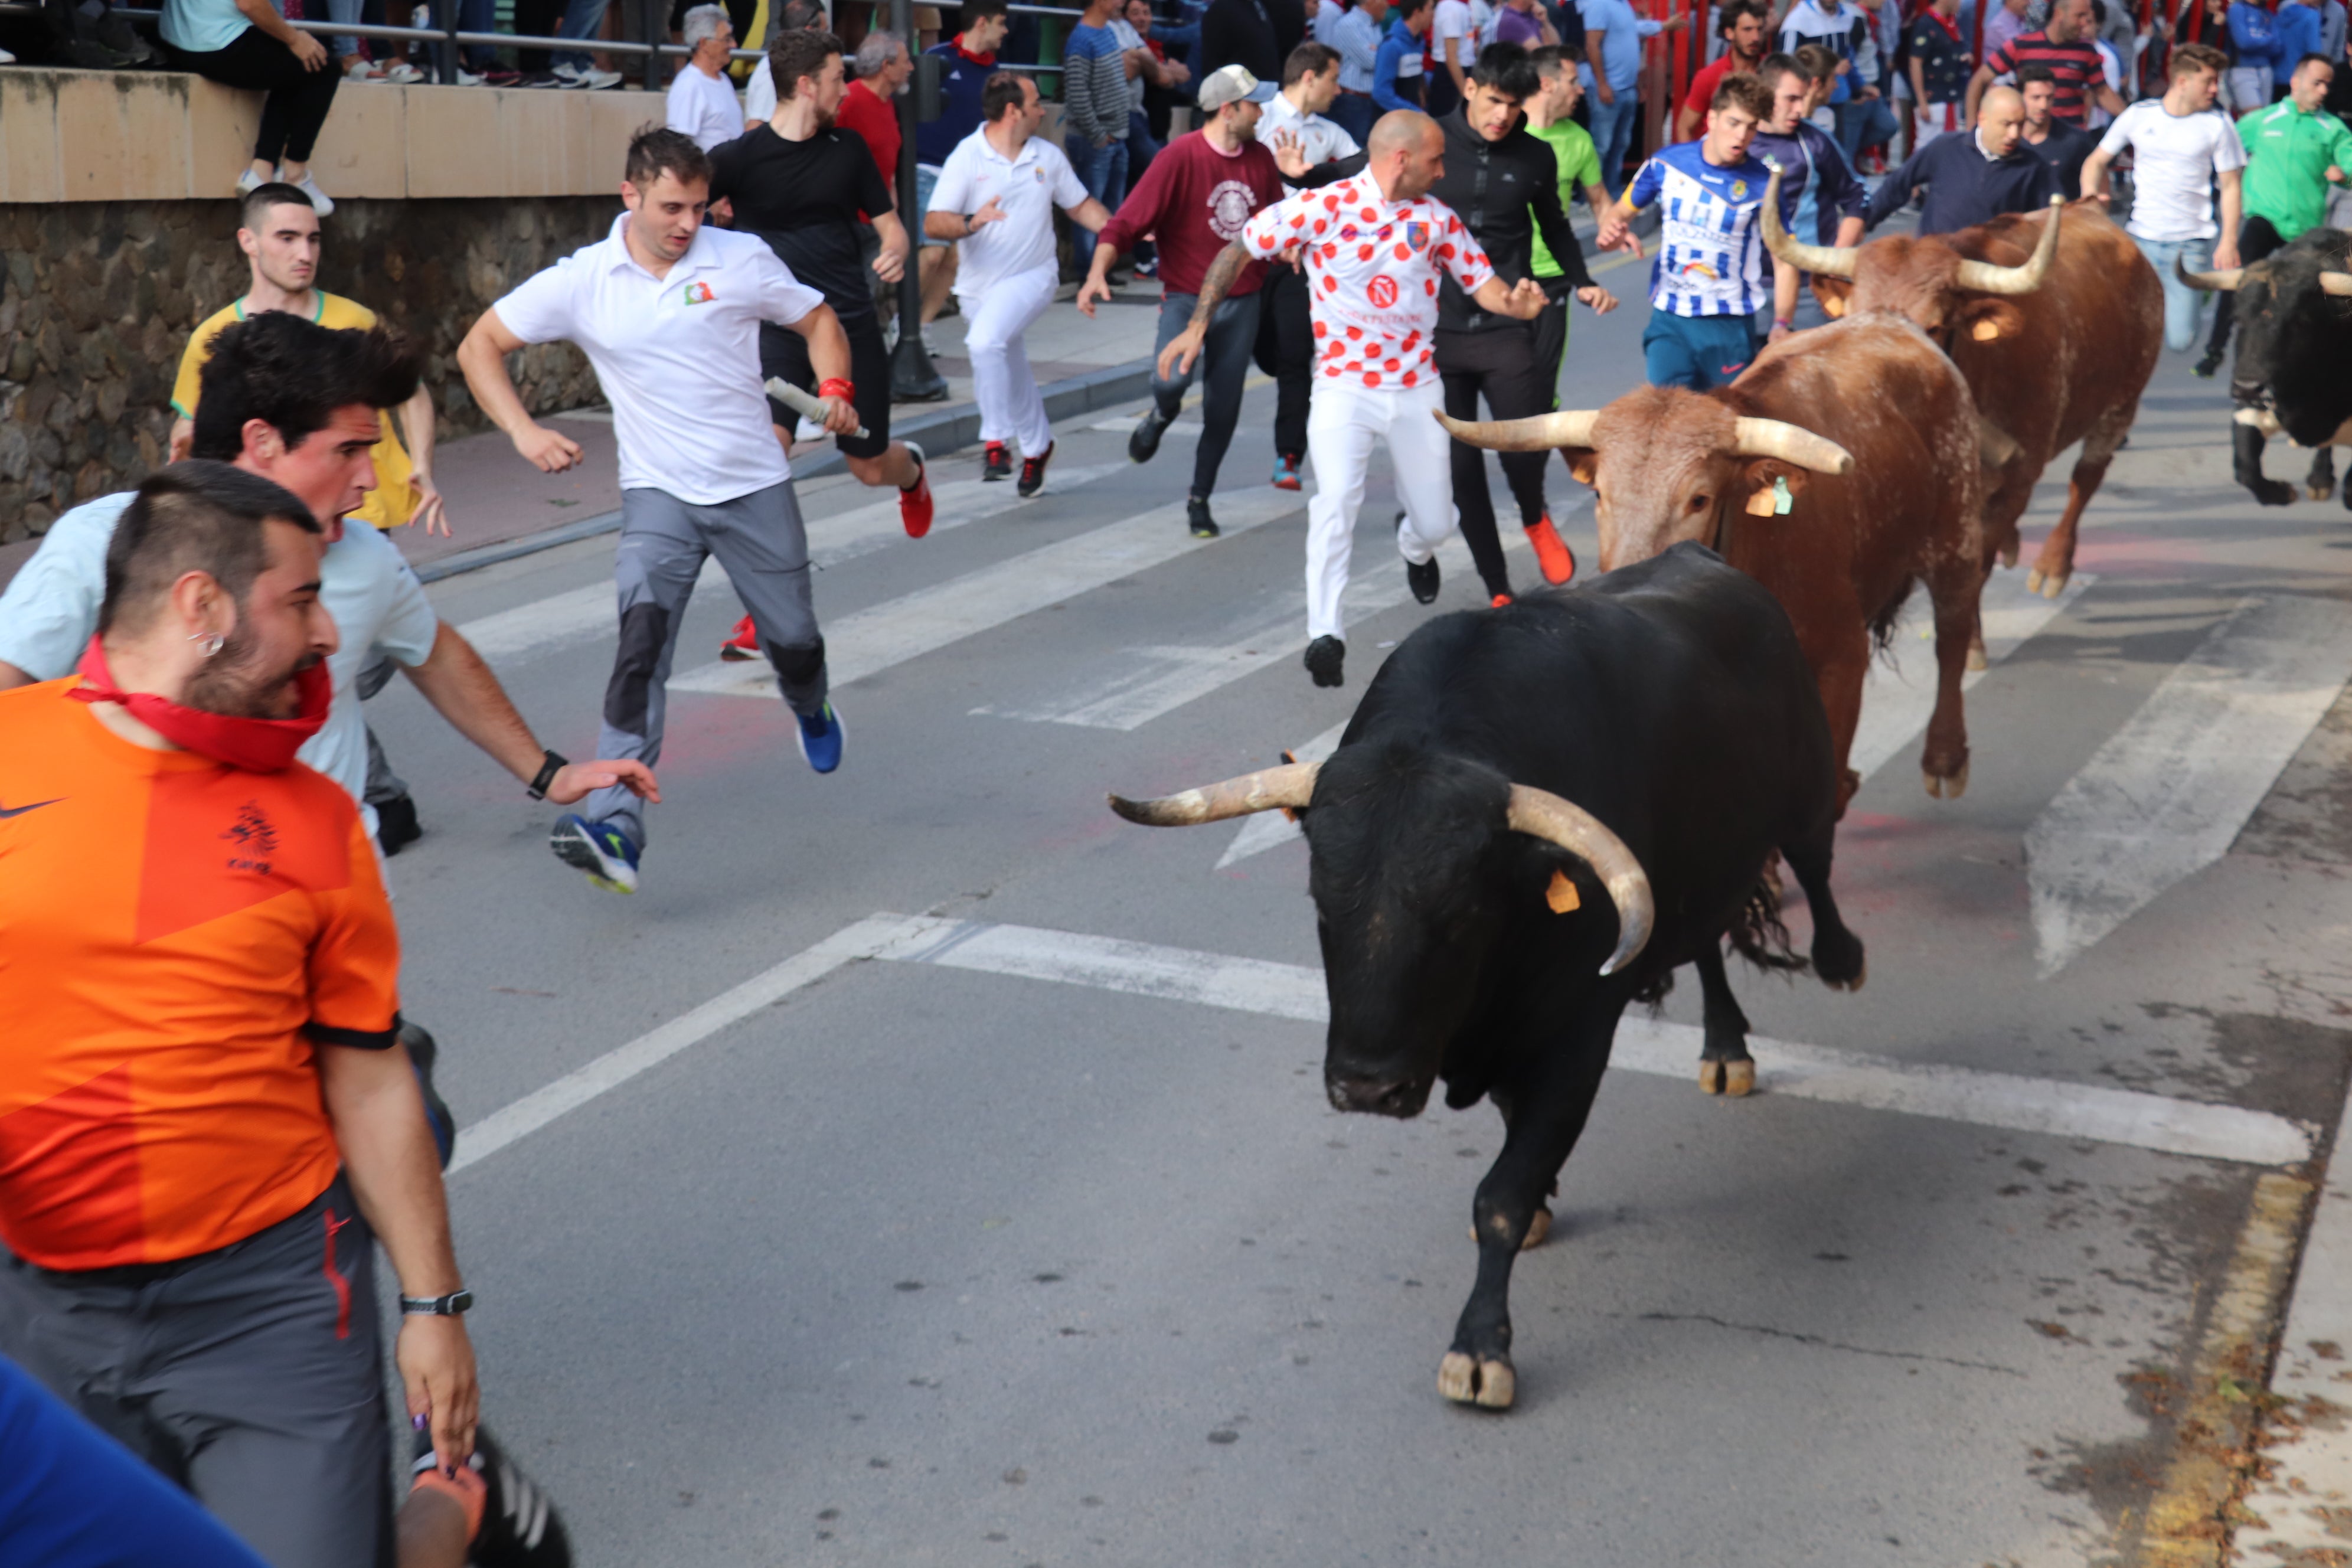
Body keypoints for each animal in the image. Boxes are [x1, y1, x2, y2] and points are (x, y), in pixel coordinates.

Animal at [1110, 550, 1863, 1410]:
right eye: (1321, 900)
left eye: (1463, 910)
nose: (1367, 1089)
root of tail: (1707, 561)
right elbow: (1514, 1141)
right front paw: (1541, 1204)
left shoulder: (1576, 1038)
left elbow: (1501, 1194)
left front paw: (1479, 1347)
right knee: (1705, 936)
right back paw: (1726, 1046)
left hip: (1808, 786)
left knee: (1813, 858)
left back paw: (1839, 961)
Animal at [1449, 315, 1985, 818]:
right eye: (1599, 494)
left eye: (1699, 500)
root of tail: (1890, 321)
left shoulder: (1842, 657)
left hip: (1956, 533)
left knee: (1953, 630)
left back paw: (1945, 758)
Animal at [1768, 181, 2164, 602]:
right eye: (1852, 316)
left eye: (1935, 326)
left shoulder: (2017, 482)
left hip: (2123, 403)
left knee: (2087, 476)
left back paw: (2054, 565)